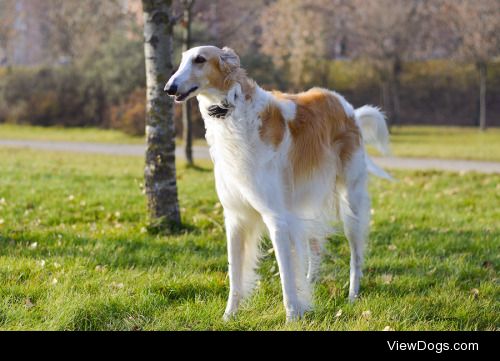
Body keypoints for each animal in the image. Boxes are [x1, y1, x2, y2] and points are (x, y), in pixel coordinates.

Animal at [164, 45, 390, 320]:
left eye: (200, 59)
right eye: (182, 60)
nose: (169, 88)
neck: (233, 112)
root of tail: (349, 109)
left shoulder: (276, 217)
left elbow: (285, 274)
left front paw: (292, 316)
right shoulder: (235, 216)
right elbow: (235, 273)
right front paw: (229, 315)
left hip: (351, 201)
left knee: (355, 254)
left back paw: (352, 295)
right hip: (305, 205)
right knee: (313, 246)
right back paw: (310, 284)